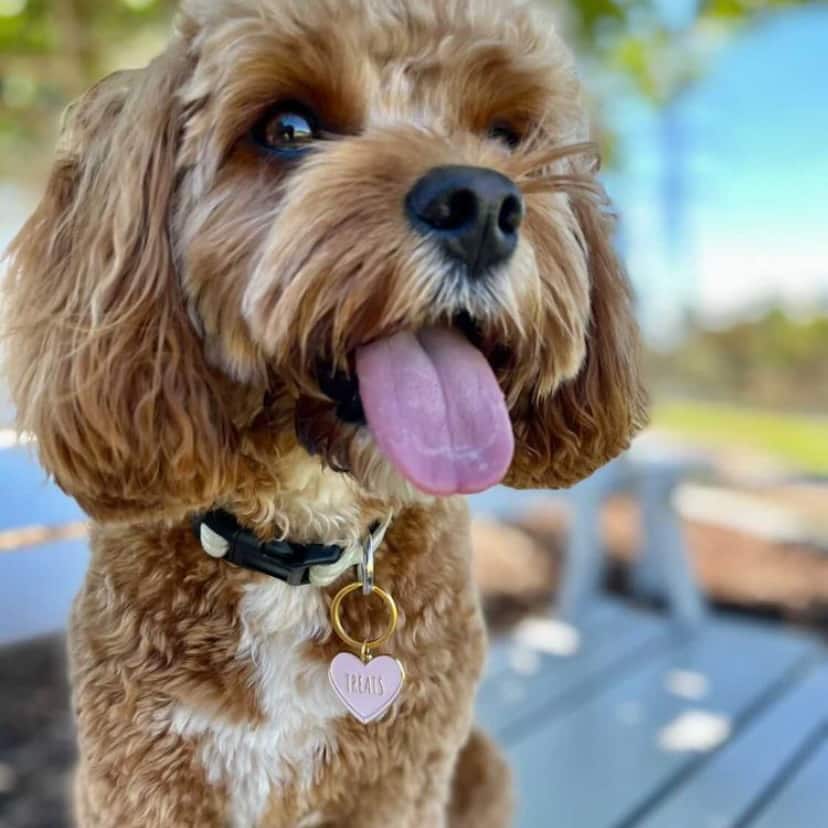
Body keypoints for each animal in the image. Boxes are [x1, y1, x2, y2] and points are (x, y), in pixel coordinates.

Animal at [0, 1, 648, 828]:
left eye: (506, 133)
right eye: (287, 128)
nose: (482, 205)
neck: (299, 548)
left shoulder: (402, 775)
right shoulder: (141, 774)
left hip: (483, 767)